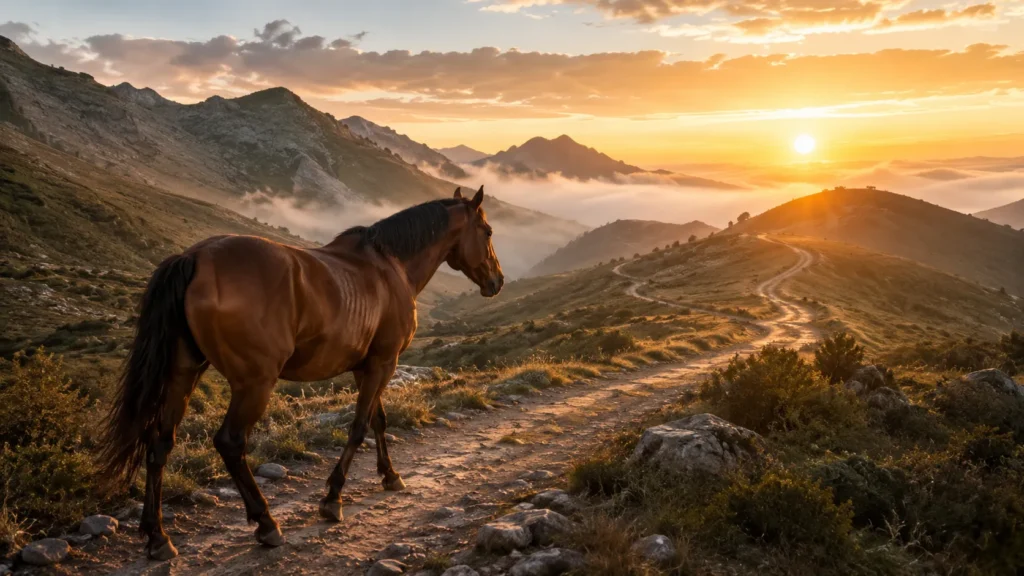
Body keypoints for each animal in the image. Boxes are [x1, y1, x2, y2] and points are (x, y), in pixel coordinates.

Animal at [97, 186, 503, 560]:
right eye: (487, 231)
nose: (497, 282)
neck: (391, 268)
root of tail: (193, 258)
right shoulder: (383, 364)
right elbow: (359, 427)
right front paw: (333, 497)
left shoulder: (368, 367)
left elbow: (378, 421)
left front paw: (390, 476)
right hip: (254, 383)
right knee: (230, 443)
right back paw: (266, 523)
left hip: (183, 374)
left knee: (159, 442)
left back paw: (157, 536)